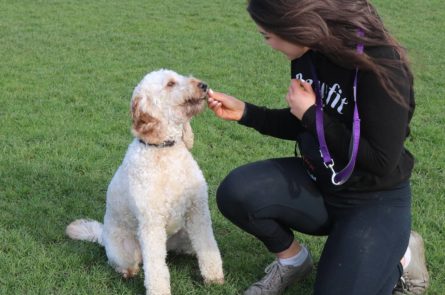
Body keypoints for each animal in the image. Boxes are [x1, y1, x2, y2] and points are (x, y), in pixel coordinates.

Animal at [65, 70, 225, 295]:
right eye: (170, 84)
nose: (203, 85)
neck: (165, 149)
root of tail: (102, 234)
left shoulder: (198, 212)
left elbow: (208, 246)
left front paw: (214, 277)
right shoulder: (151, 223)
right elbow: (156, 267)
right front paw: (159, 290)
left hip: (184, 235)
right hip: (125, 250)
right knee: (127, 263)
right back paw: (127, 272)